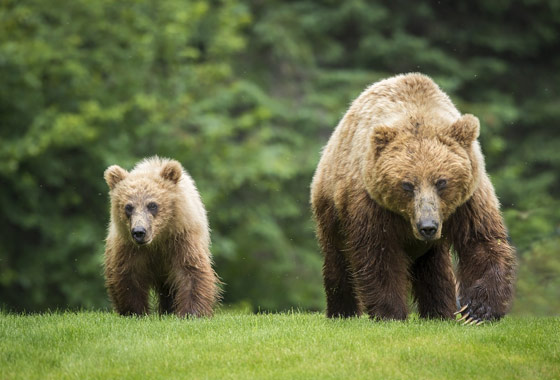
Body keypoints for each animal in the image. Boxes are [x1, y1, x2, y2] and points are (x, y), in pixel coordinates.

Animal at [104, 156, 220, 316]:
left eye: (152, 205)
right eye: (128, 207)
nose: (139, 232)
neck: (158, 239)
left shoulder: (182, 239)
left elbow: (191, 271)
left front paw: (192, 312)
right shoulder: (128, 247)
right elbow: (129, 277)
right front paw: (135, 311)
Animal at [310, 72, 516, 322]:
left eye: (441, 182)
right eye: (407, 184)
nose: (427, 226)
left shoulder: (468, 200)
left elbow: (481, 241)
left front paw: (477, 310)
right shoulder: (371, 205)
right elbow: (379, 255)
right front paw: (390, 313)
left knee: (435, 268)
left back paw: (439, 311)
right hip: (331, 206)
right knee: (338, 260)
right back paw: (342, 311)